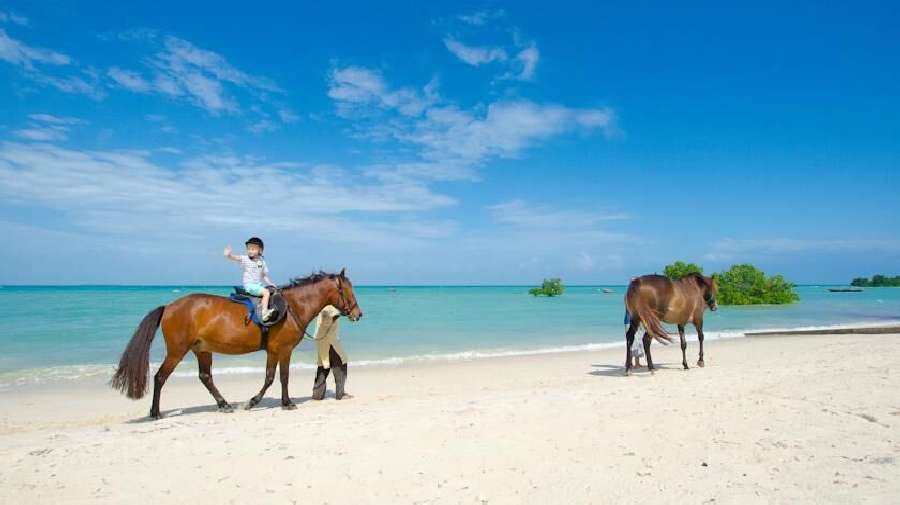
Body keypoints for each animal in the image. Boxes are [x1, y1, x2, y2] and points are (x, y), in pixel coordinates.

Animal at [110, 269, 363, 419]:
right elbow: (282, 377)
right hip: (177, 351)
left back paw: (224, 404)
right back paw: (155, 412)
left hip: (202, 349)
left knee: (205, 377)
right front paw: (286, 402)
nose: (358, 313)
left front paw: (253, 402)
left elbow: (269, 377)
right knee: (160, 377)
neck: (292, 307)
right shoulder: (283, 350)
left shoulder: (272, 351)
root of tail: (169, 307)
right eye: (347, 290)